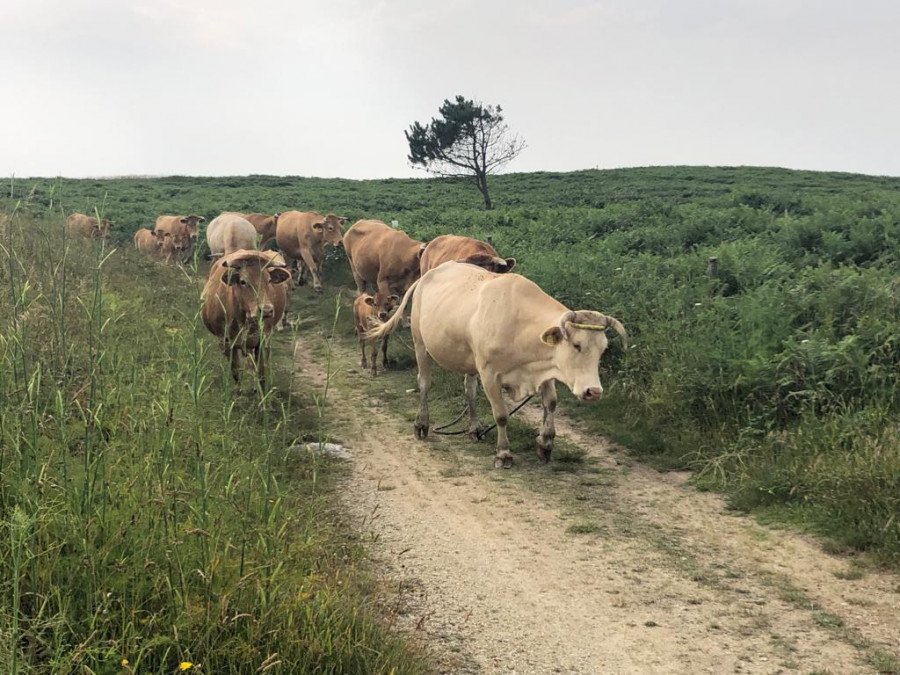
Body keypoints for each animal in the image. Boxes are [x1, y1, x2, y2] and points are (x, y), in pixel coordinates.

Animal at [200, 248, 292, 386]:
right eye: (243, 281)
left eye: (269, 280)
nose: (266, 310)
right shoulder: (225, 342)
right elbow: (236, 372)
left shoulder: (263, 341)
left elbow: (261, 374)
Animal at [366, 262, 624, 470]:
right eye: (577, 345)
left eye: (603, 348)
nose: (593, 391)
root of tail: (427, 275)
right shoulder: (490, 373)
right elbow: (501, 415)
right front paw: (504, 453)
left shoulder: (544, 370)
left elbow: (550, 403)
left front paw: (545, 443)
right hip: (421, 344)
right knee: (424, 384)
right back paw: (422, 423)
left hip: (469, 360)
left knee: (469, 389)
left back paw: (474, 428)